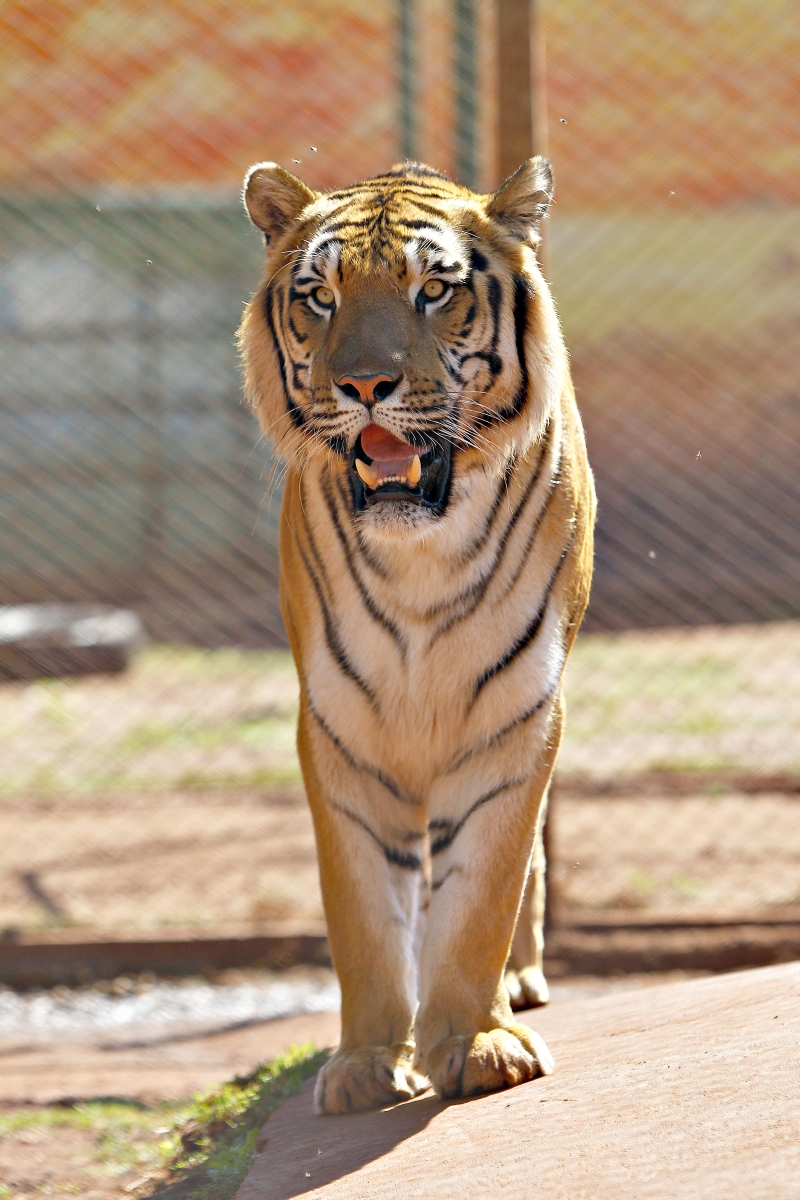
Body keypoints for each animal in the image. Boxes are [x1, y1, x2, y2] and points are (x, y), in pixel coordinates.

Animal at [239, 157, 595, 1113]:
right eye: (320, 296)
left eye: (433, 290)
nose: (365, 387)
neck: (419, 557)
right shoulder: (338, 728)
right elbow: (364, 914)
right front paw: (366, 1064)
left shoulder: (516, 716)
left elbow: (483, 895)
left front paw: (477, 1043)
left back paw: (520, 984)